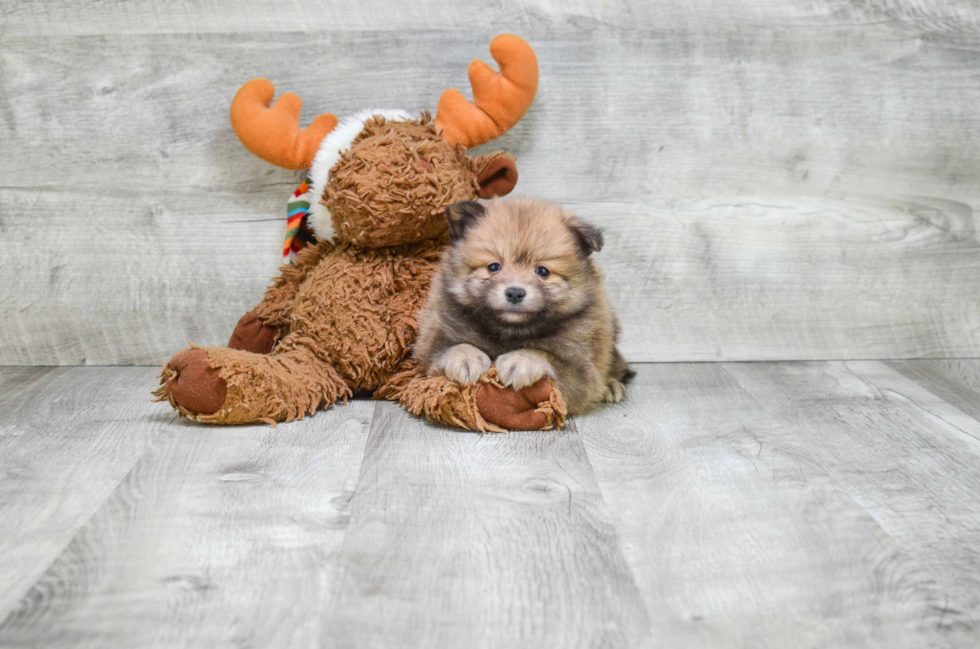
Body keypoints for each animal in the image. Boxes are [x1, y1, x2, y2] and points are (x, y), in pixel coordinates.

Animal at [416, 195, 636, 416]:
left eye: (543, 271)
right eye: (494, 267)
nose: (515, 292)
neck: (511, 331)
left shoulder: (580, 372)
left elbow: (546, 355)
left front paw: (522, 360)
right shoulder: (431, 348)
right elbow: (452, 347)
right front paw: (465, 357)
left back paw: (611, 385)